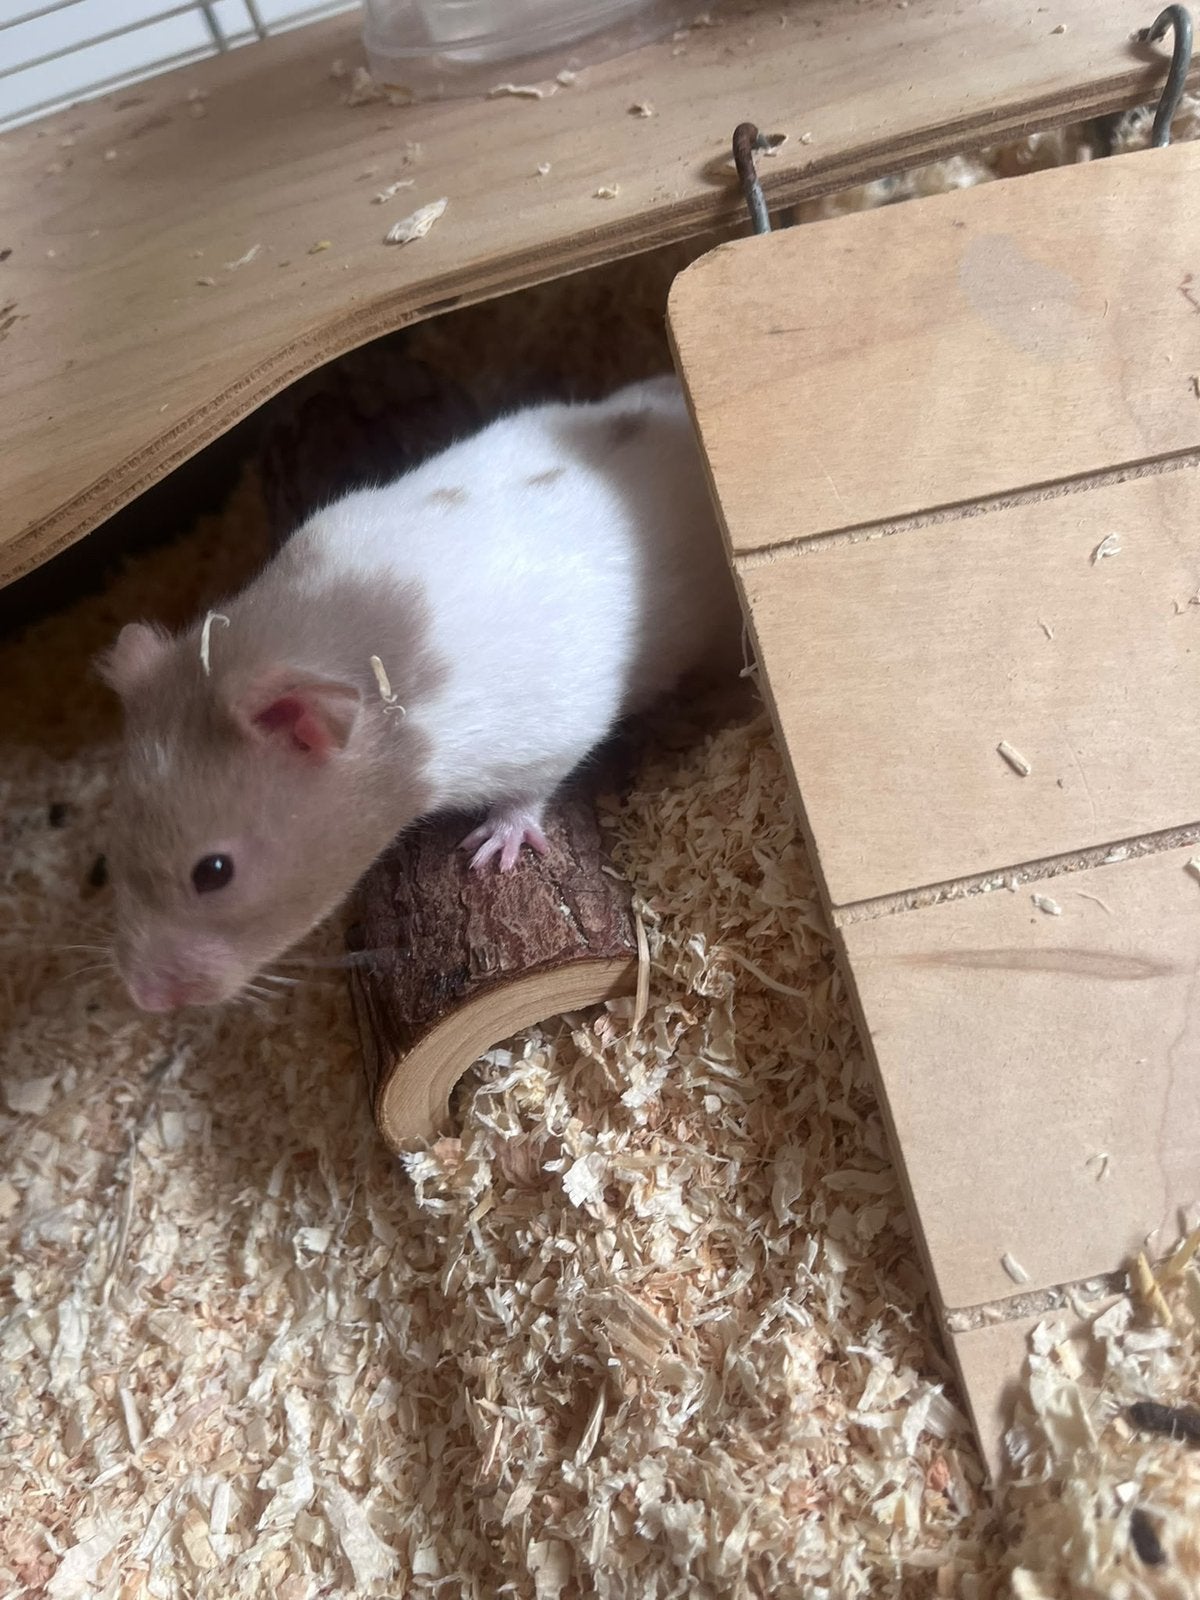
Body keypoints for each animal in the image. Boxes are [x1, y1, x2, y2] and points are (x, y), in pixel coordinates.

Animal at [97, 373, 742, 1013]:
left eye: (213, 872)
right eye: (112, 852)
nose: (145, 1000)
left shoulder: (546, 732)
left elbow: (528, 795)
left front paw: (490, 853)